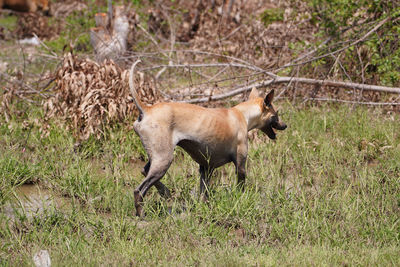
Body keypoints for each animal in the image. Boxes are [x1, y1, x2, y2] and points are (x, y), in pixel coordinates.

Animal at [130, 59, 286, 217]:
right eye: (276, 115)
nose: (285, 125)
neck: (243, 114)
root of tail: (146, 110)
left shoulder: (206, 168)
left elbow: (203, 193)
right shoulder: (240, 165)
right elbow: (240, 187)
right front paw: (240, 200)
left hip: (157, 158)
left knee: (144, 171)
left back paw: (164, 191)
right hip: (164, 160)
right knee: (139, 190)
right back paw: (141, 213)